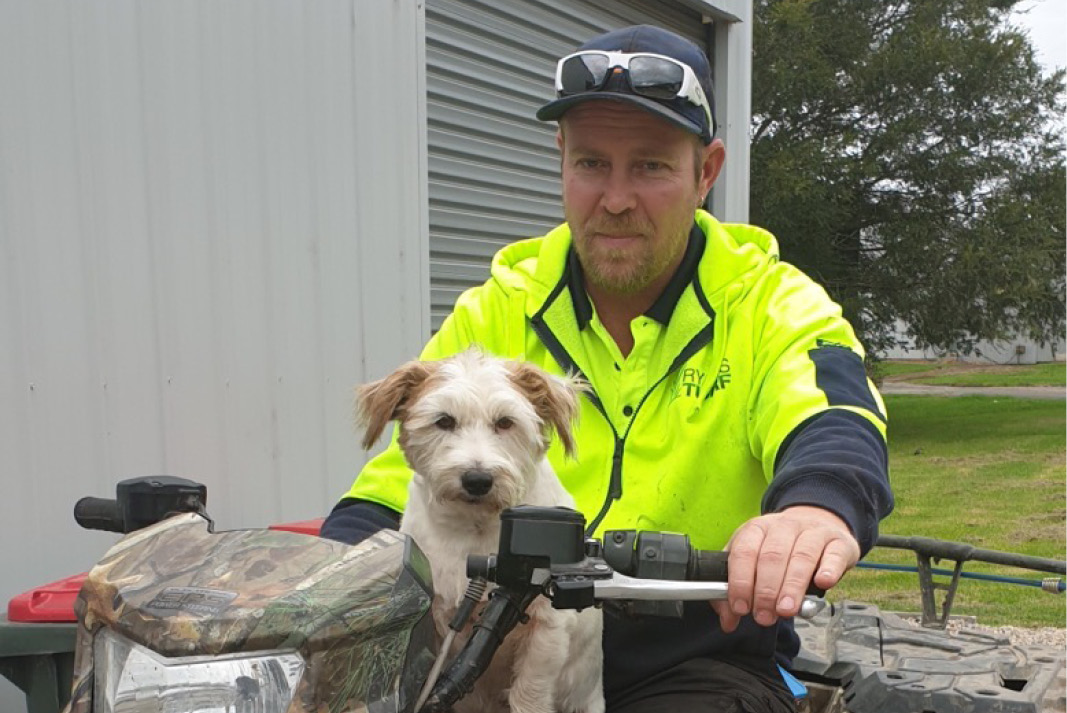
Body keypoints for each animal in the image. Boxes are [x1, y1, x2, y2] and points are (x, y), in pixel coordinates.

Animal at [358, 350, 606, 713]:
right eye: (444, 421)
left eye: (505, 422)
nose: (477, 480)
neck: (476, 531)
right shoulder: (440, 630)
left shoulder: (546, 629)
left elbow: (529, 694)